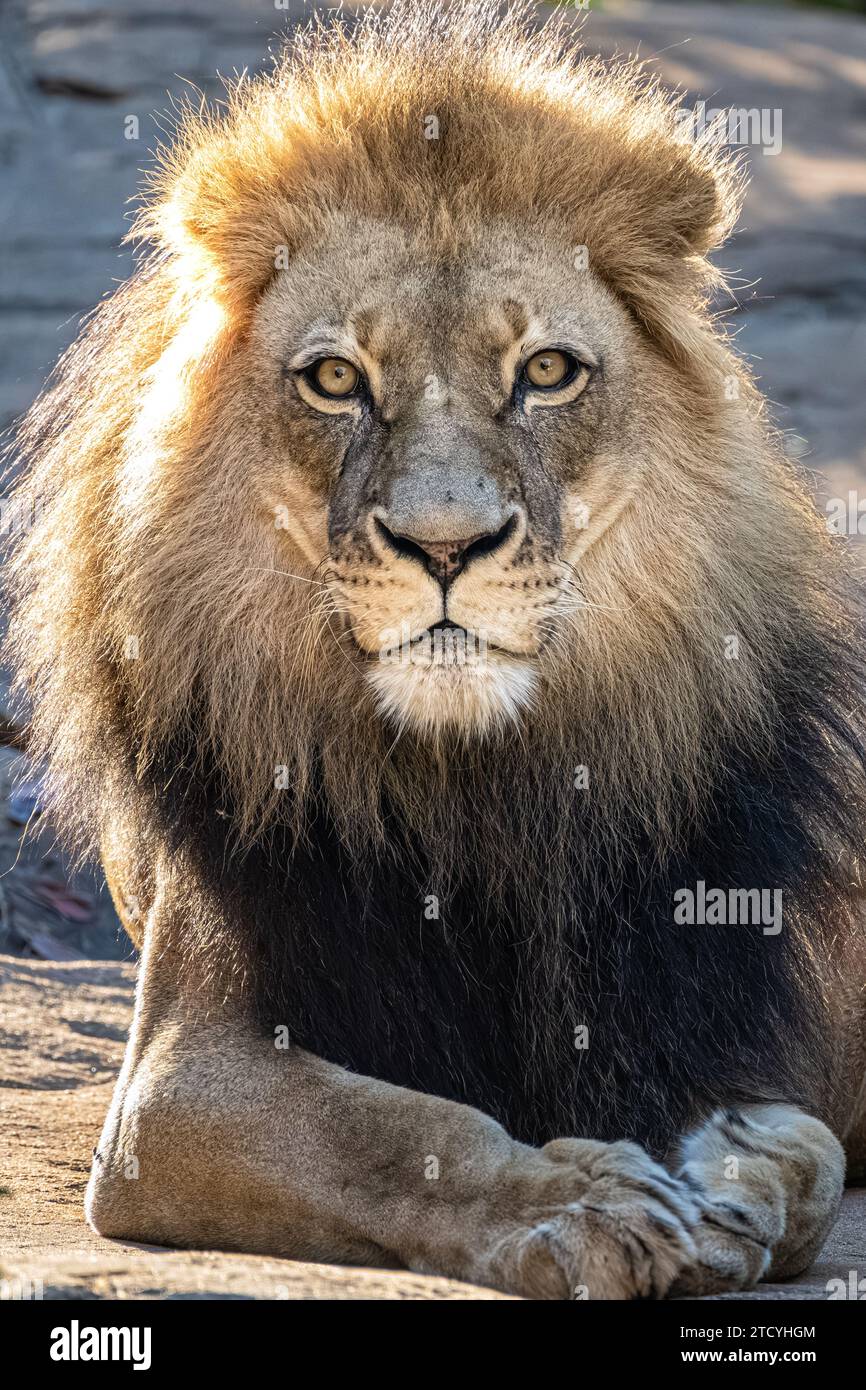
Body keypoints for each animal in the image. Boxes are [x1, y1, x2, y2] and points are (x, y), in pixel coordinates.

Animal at [4, 0, 866, 1300]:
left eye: (545, 371)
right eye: (334, 379)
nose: (444, 545)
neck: (474, 778)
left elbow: (808, 1149)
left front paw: (730, 1174)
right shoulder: (177, 1083)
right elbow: (399, 1129)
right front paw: (578, 1204)